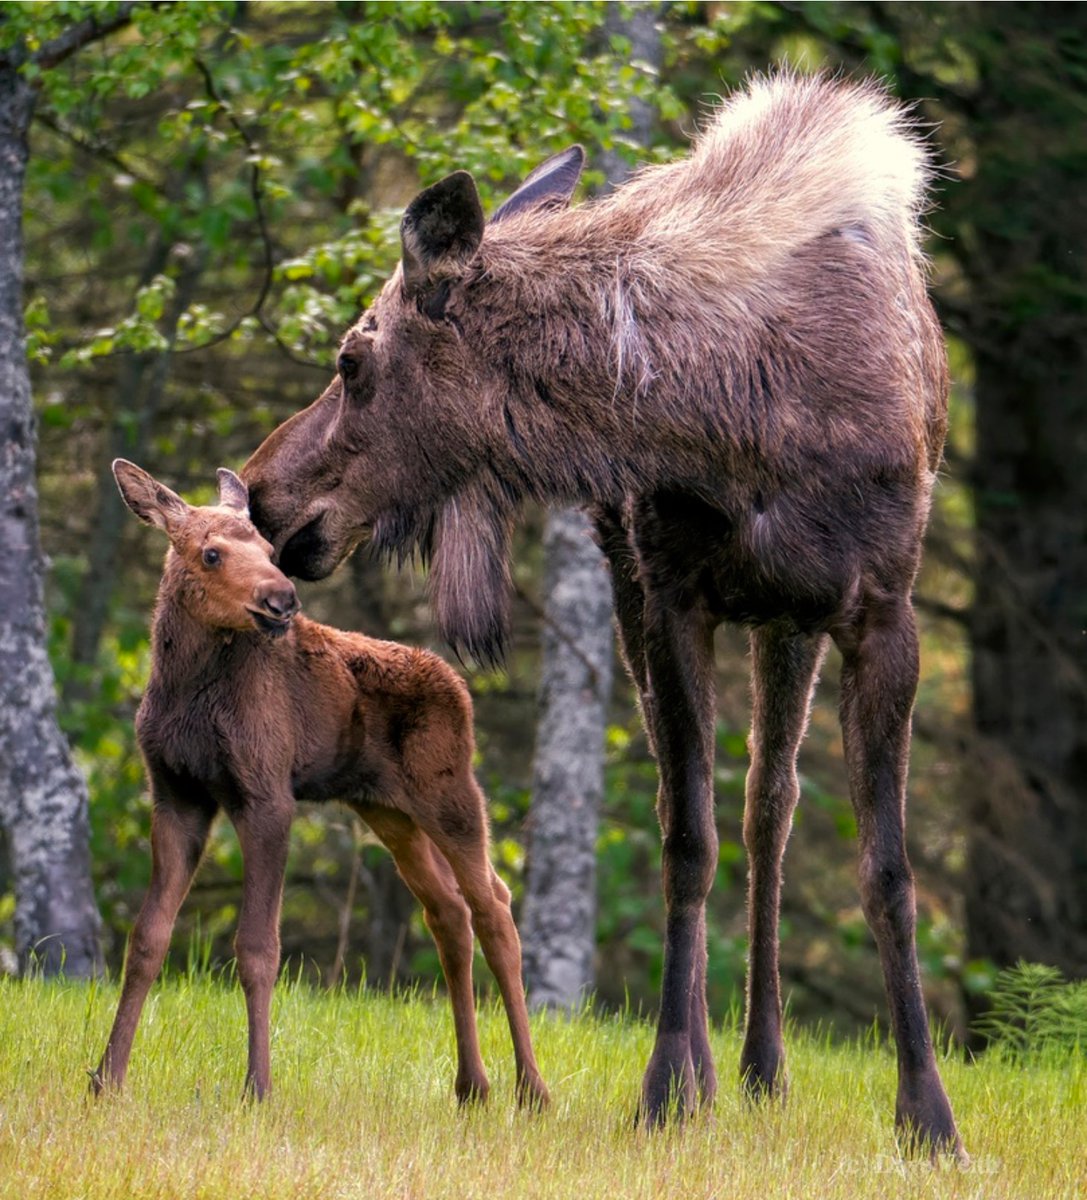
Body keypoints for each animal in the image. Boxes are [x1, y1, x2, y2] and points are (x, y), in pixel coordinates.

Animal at [91, 459, 549, 1109]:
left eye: (266, 547)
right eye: (210, 553)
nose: (282, 598)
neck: (185, 692)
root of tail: (460, 687)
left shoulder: (267, 795)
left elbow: (258, 948)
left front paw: (258, 1086)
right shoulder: (177, 795)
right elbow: (147, 939)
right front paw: (107, 1077)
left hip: (452, 792)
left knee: (495, 906)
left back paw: (531, 1088)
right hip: (389, 811)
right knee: (448, 911)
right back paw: (471, 1085)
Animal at [241, 72, 963, 1154]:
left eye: (351, 359)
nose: (257, 493)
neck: (737, 425)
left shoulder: (883, 609)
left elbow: (886, 870)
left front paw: (926, 1112)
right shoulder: (668, 596)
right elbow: (684, 842)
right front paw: (666, 1084)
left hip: (789, 620)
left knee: (770, 805)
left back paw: (765, 1065)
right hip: (657, 589)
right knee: (714, 809)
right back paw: (718, 1067)